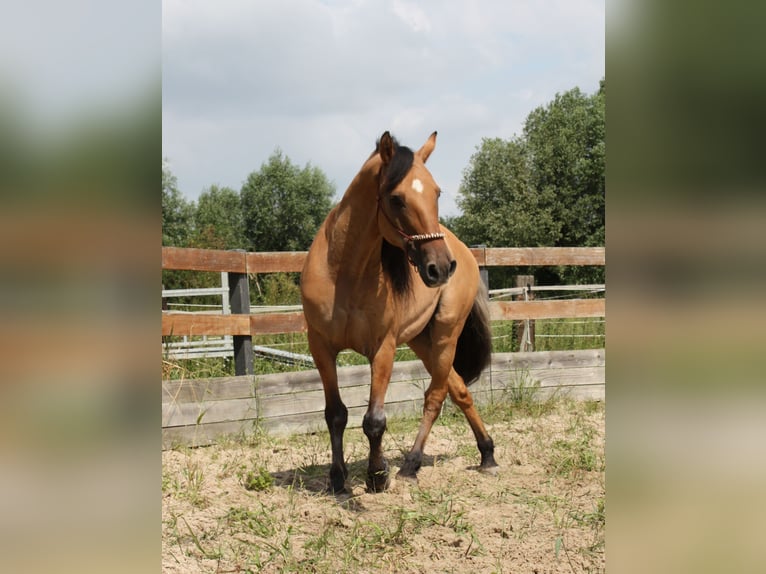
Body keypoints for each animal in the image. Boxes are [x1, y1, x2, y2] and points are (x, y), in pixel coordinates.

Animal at [300, 132, 498, 496]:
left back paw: (411, 465)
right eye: (396, 199)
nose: (440, 267)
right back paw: (487, 455)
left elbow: (374, 420)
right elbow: (335, 414)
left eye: (436, 193)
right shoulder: (321, 347)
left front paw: (377, 475)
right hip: (422, 340)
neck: (344, 275)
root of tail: (461, 249)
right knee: (460, 390)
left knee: (435, 397)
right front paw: (338, 479)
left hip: (446, 335)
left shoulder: (383, 348)